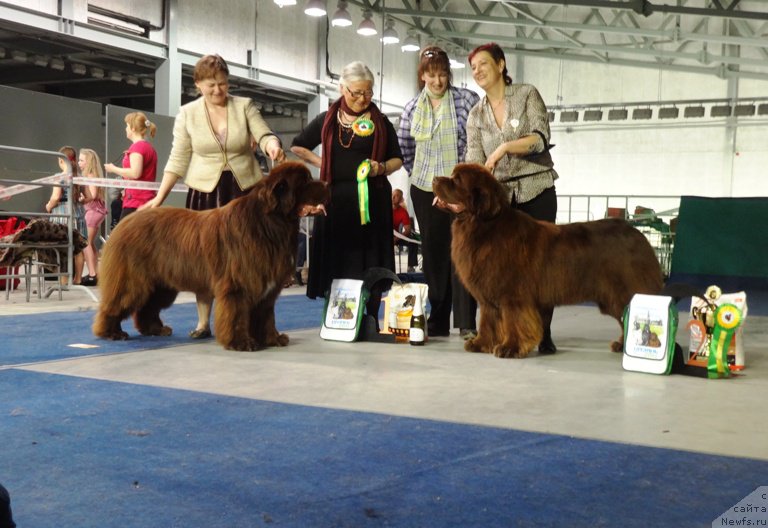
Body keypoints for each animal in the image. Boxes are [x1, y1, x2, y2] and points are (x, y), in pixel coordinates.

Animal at [92, 161, 328, 350]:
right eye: (305, 181)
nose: (326, 183)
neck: (269, 223)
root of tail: (125, 221)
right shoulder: (238, 286)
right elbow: (236, 315)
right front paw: (241, 342)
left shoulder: (265, 289)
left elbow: (266, 316)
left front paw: (273, 339)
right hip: (132, 280)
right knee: (116, 303)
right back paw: (111, 332)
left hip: (161, 284)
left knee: (147, 307)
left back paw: (155, 329)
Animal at [436, 164, 664, 358]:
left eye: (456, 180)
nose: (435, 178)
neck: (483, 225)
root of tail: (640, 236)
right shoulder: (489, 294)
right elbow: (487, 321)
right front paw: (481, 344)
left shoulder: (513, 294)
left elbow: (513, 321)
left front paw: (510, 348)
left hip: (624, 292)